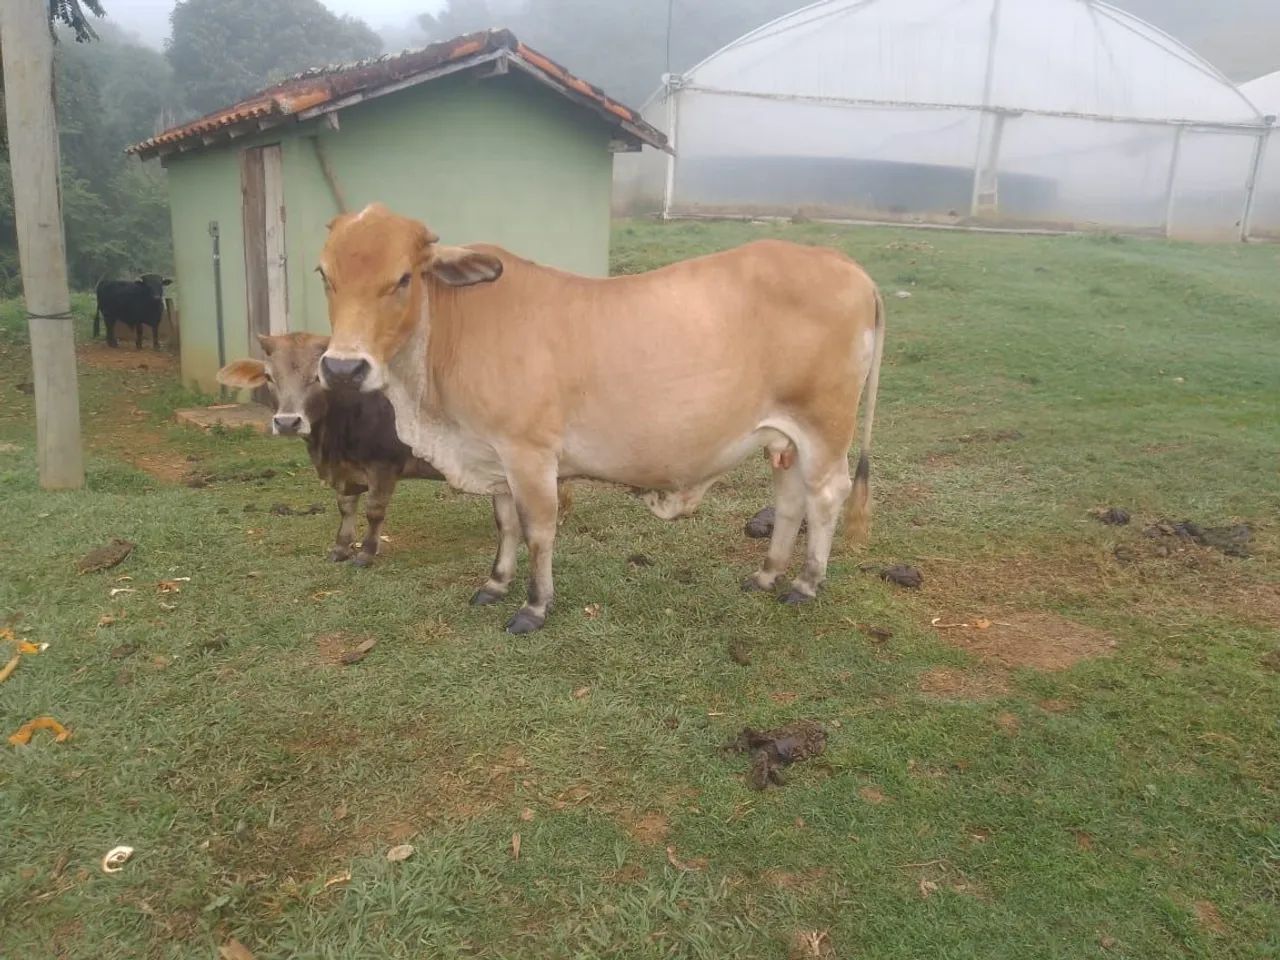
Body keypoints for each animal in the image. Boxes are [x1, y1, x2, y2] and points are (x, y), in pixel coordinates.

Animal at [216, 332, 572, 568]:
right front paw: (340, 548)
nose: (287, 422)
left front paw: (365, 552)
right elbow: (346, 507)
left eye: (317, 376)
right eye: (269, 376)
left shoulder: (383, 466)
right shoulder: (347, 473)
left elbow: (374, 510)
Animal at [317, 203, 885, 634]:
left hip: (825, 428)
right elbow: (504, 522)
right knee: (790, 500)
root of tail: (842, 263)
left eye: (403, 278)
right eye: (325, 275)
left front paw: (534, 606)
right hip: (783, 437)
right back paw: (766, 575)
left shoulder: (529, 454)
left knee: (825, 497)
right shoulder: (495, 454)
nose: (343, 367)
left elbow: (538, 529)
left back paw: (806, 583)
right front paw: (494, 583)